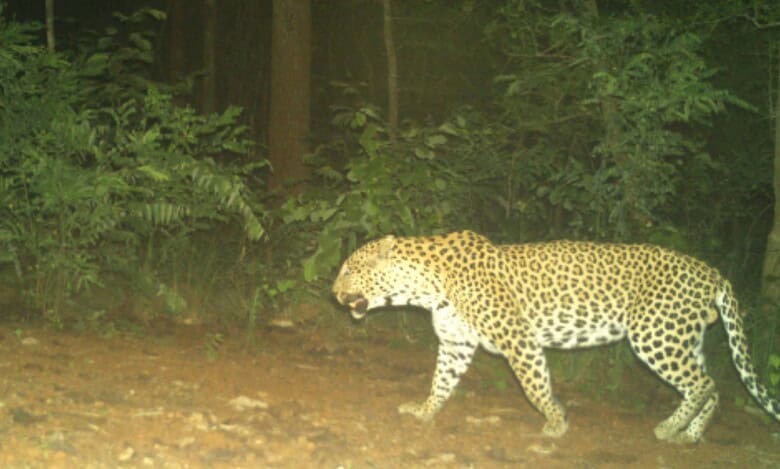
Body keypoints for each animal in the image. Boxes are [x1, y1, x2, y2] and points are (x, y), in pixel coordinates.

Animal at [332, 230, 780, 444]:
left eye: (349, 270)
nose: (333, 293)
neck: (425, 287)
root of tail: (713, 272)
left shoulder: (518, 339)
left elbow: (534, 386)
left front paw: (556, 422)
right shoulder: (457, 343)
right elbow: (441, 380)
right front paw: (425, 411)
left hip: (655, 334)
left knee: (701, 384)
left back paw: (668, 429)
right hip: (684, 337)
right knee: (712, 385)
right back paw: (690, 434)